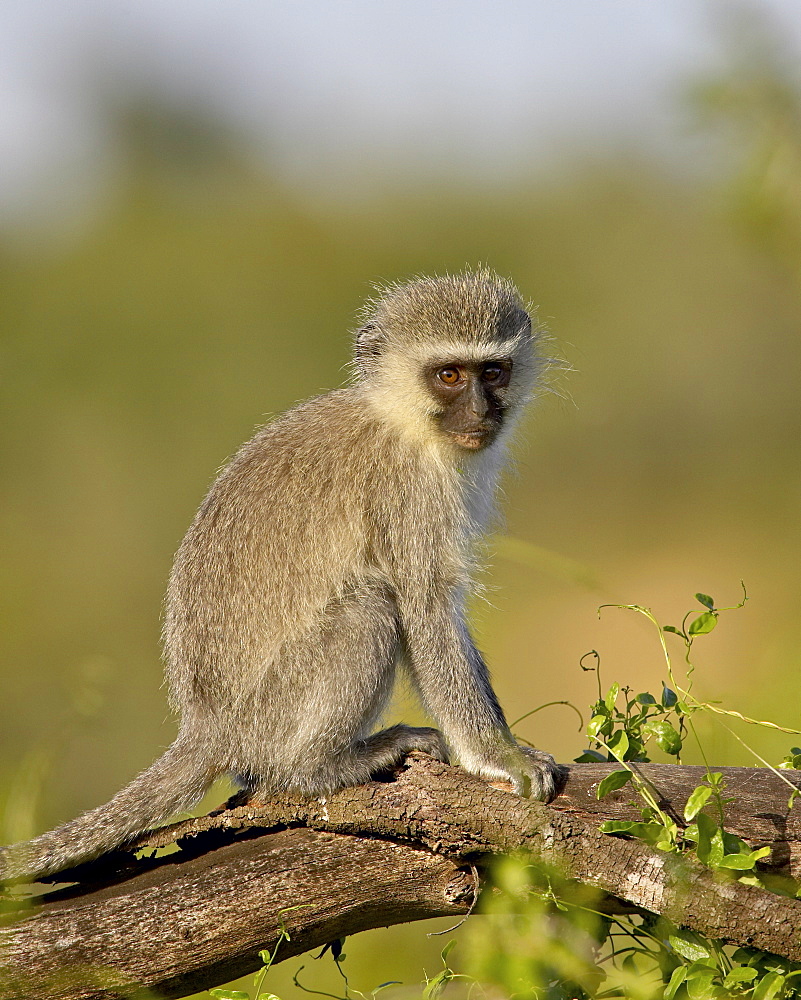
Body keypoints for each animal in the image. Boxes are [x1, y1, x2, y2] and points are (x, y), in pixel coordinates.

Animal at [0, 268, 560, 884]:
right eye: (449, 375)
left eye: (493, 372)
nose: (482, 413)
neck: (401, 420)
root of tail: (209, 726)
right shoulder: (410, 495)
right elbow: (426, 609)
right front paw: (498, 755)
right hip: (275, 710)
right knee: (370, 609)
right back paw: (323, 766)